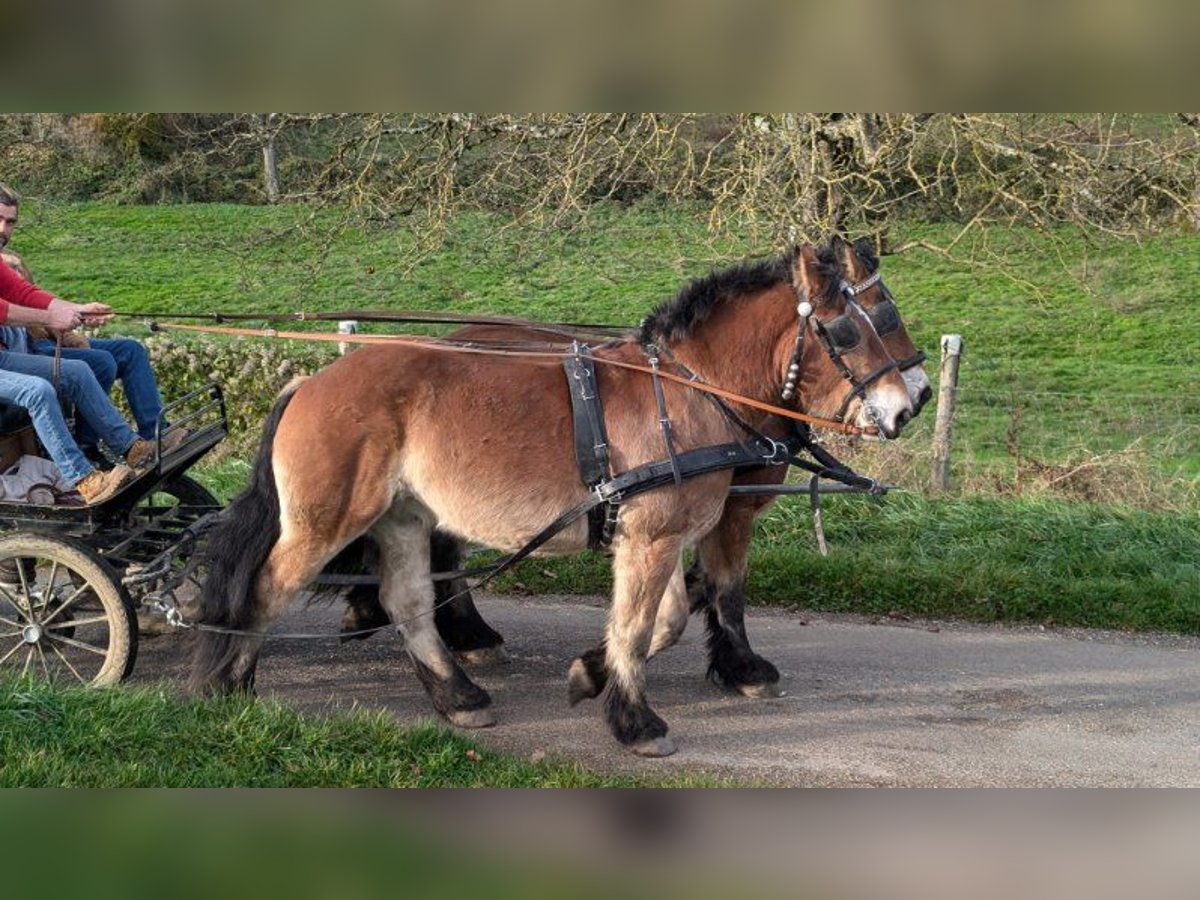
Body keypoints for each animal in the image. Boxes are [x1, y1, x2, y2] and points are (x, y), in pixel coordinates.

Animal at [192, 243, 912, 758]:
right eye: (850, 330)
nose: (907, 407)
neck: (688, 390)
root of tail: (312, 381)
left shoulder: (658, 534)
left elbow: (666, 618)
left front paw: (591, 676)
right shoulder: (657, 534)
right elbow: (642, 623)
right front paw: (636, 721)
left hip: (403, 516)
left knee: (410, 601)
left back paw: (457, 694)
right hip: (328, 518)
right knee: (270, 587)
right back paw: (226, 683)